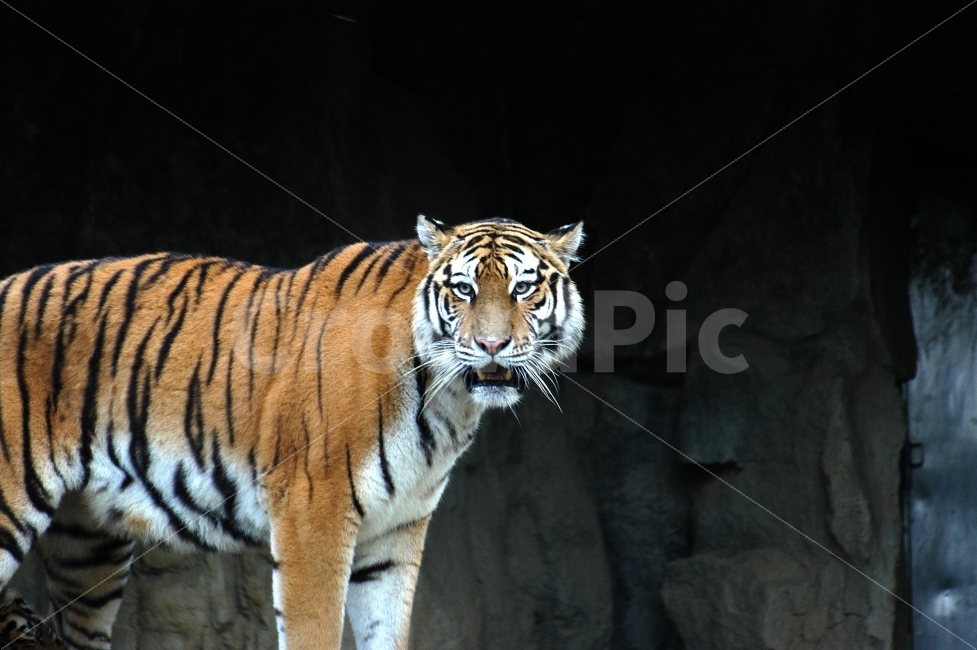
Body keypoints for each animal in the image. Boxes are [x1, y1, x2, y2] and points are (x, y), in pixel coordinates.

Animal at [0, 215, 585, 650]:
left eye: (524, 288)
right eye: (464, 290)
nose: (491, 346)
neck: (448, 400)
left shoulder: (397, 531)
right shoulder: (313, 510)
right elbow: (314, 629)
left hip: (86, 545)